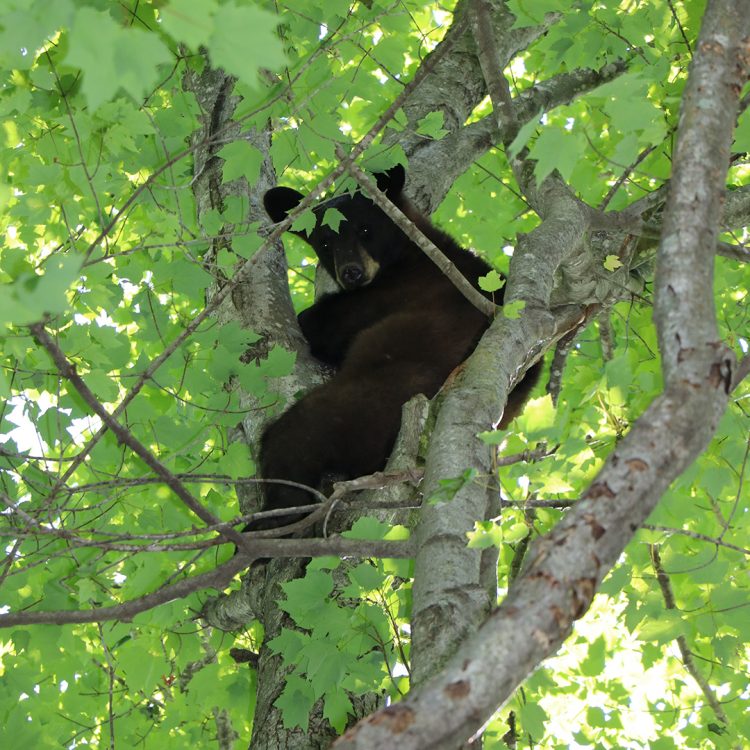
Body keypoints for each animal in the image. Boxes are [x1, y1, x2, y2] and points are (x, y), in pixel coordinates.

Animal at [251, 165, 540, 531]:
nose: (351, 272)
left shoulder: (385, 294)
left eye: (365, 229)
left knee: (292, 440)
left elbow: (321, 323)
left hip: (359, 406)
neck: (410, 251)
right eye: (325, 242)